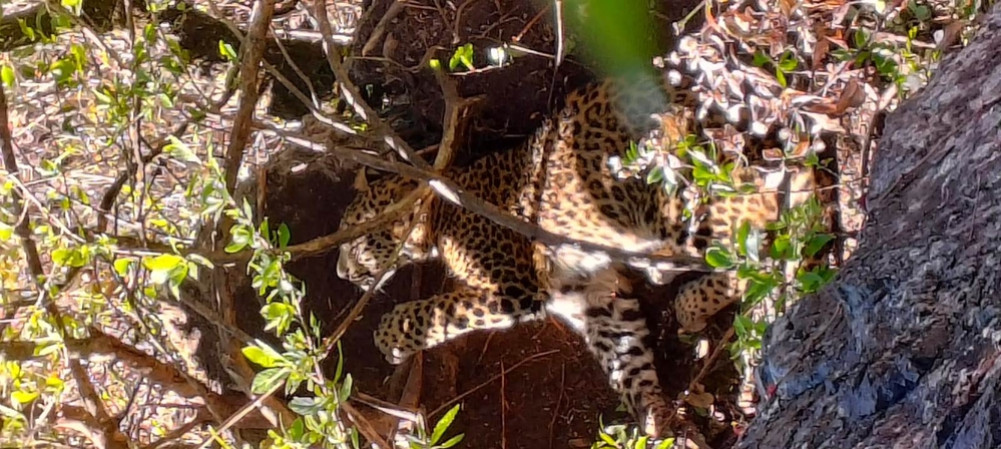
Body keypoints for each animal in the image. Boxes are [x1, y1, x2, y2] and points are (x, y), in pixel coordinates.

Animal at [334, 74, 821, 438]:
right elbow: (626, 357)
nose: (339, 271)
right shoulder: (594, 295)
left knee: (765, 238)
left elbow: (439, 311)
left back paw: (691, 299)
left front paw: (392, 335)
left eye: (355, 240)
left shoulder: (514, 286)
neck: (445, 212)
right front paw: (657, 420)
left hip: (675, 194)